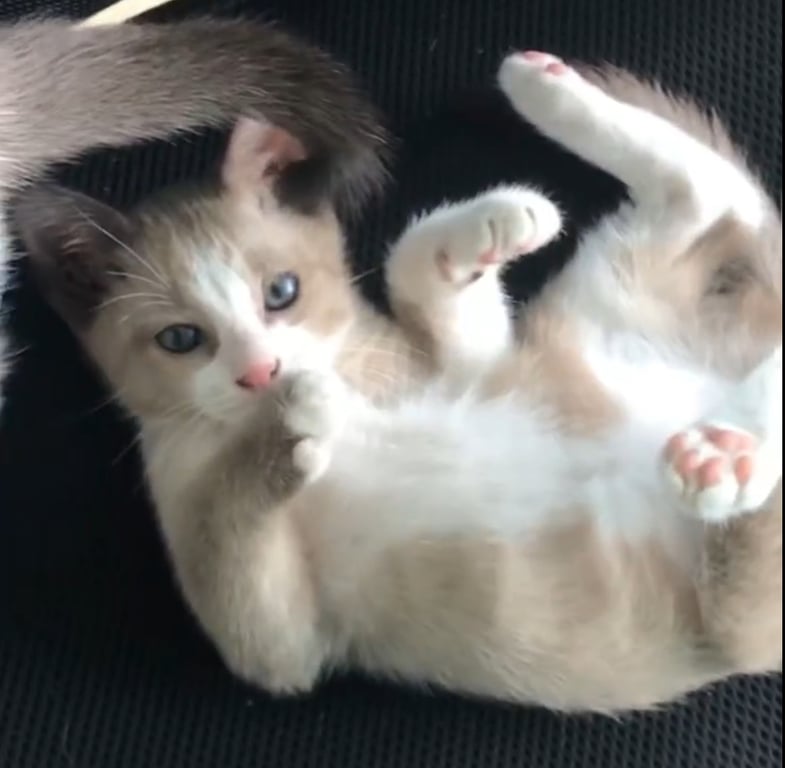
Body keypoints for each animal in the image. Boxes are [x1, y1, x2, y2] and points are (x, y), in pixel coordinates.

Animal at [14, 51, 782, 713]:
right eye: (180, 339)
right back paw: (726, 454)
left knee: (714, 198)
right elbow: (235, 537)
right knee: (708, 205)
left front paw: (488, 226)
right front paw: (293, 418)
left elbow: (411, 268)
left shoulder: (469, 370)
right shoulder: (276, 643)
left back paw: (545, 91)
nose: (262, 371)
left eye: (281, 292)